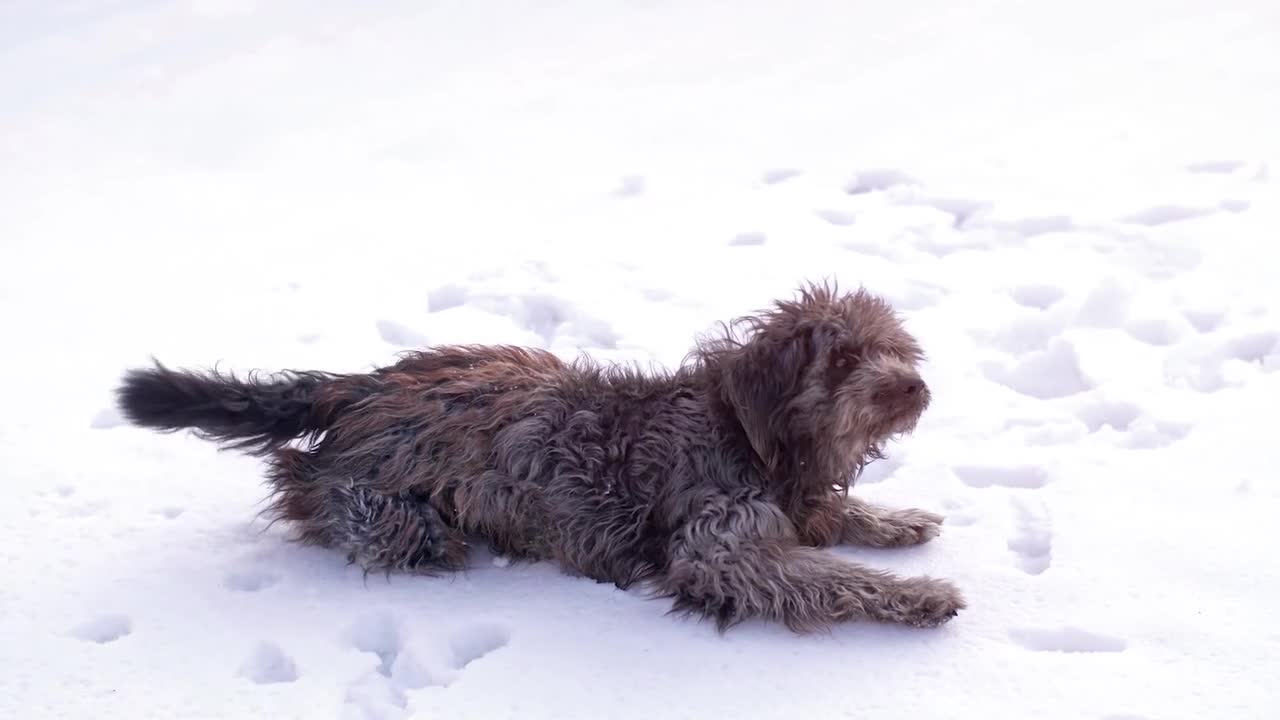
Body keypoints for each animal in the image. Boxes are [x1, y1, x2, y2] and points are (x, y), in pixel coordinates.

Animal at [117, 283, 962, 630]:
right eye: (843, 358)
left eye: (894, 346)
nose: (916, 385)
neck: (745, 432)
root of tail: (355, 388)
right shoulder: (719, 548)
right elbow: (830, 579)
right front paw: (919, 596)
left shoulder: (796, 501)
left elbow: (838, 519)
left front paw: (899, 522)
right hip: (389, 512)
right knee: (301, 483)